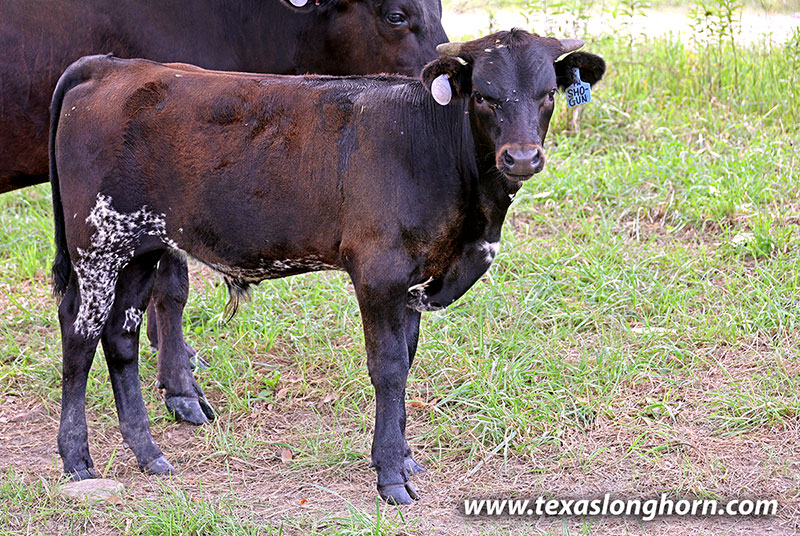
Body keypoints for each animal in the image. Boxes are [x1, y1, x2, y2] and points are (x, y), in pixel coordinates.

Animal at [49, 29, 605, 504]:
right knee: (79, 338)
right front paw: (390, 474)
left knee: (120, 339)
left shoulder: (415, 281)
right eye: (485, 96)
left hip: (140, 247)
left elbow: (407, 357)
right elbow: (389, 367)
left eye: (547, 94)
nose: (522, 158)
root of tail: (110, 67)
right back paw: (76, 458)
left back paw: (148, 454)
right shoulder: (379, 273)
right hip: (97, 245)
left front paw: (405, 457)